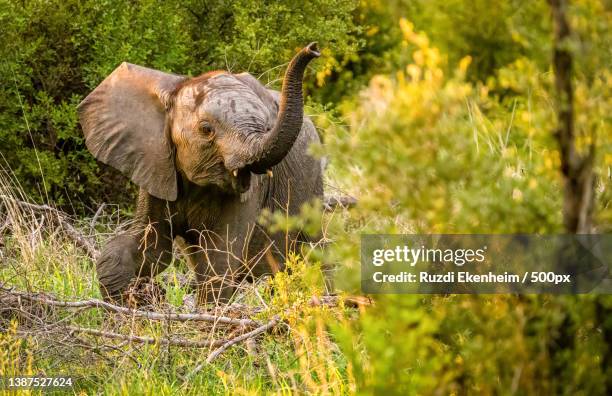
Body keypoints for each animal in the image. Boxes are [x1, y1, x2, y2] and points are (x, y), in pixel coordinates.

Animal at [79, 42, 322, 304]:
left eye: (267, 127)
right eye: (206, 130)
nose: (313, 49)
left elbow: (219, 259)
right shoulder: (159, 165)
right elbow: (153, 249)